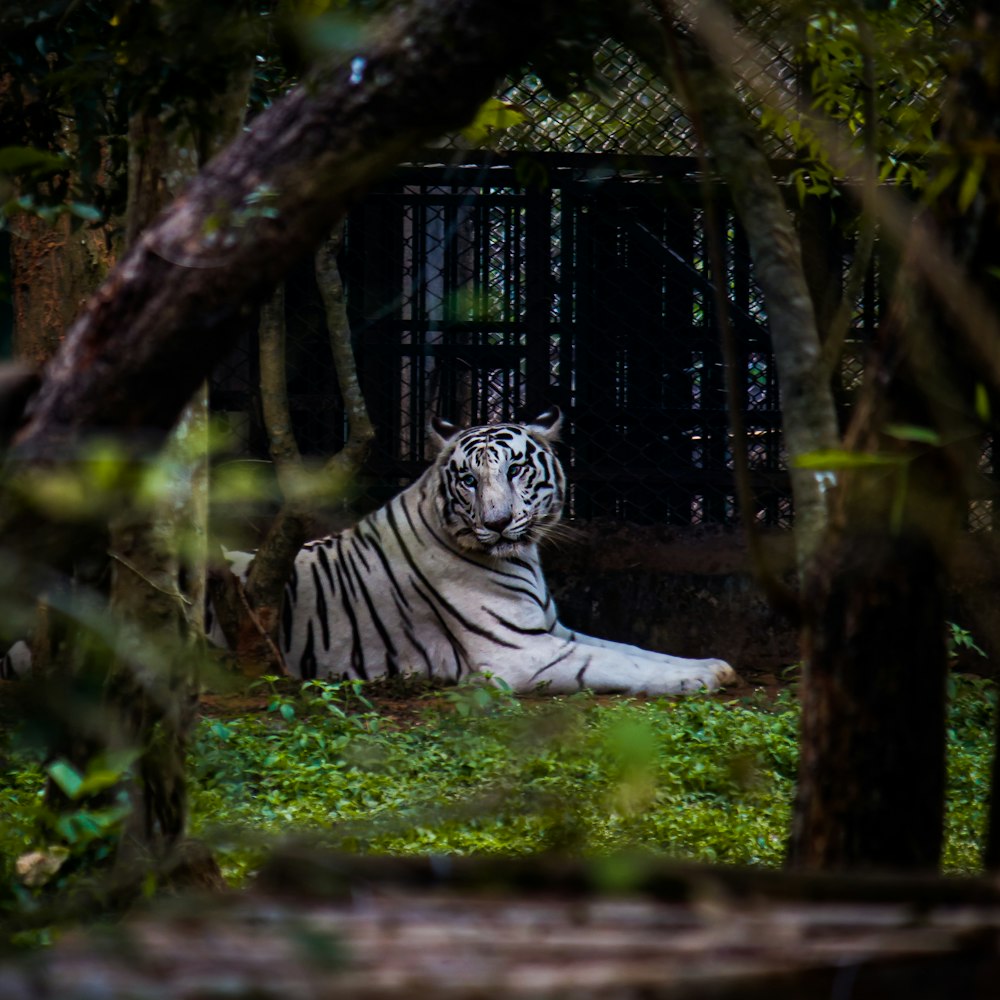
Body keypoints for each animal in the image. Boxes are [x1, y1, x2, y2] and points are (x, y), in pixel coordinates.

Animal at [243, 408, 740, 696]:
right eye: (468, 480)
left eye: (515, 470)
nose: (497, 523)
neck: (523, 557)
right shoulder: (517, 652)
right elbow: (618, 662)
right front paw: (702, 677)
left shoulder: (552, 627)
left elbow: (631, 647)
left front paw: (710, 664)